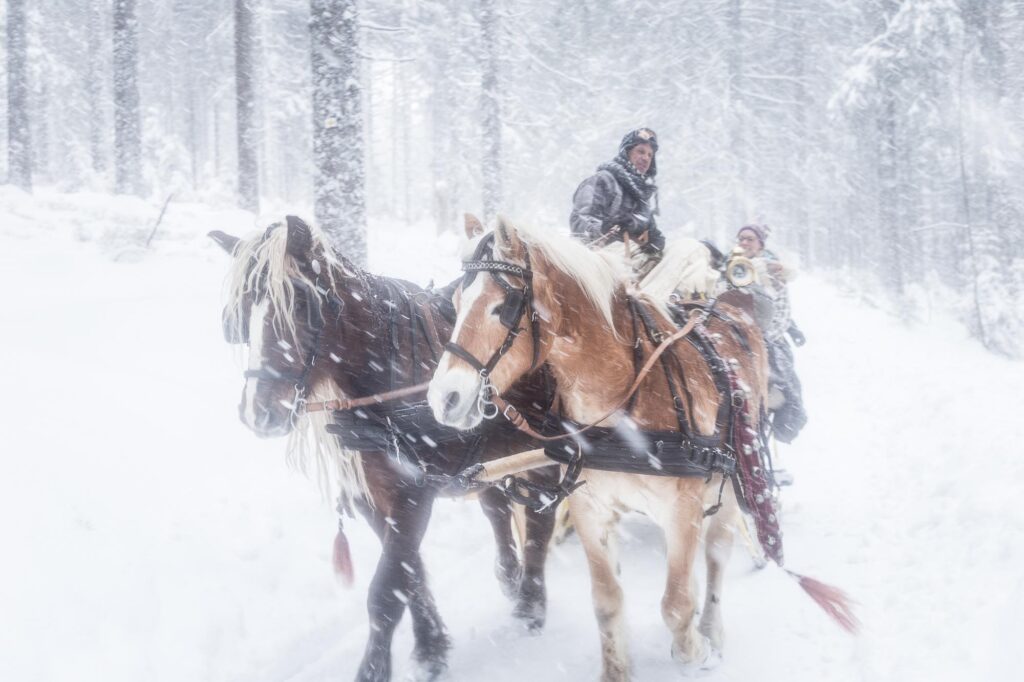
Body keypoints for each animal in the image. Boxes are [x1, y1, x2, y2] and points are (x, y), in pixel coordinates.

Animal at [209, 216, 561, 679]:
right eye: (240, 313)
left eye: (301, 305)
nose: (258, 413)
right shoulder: (371, 496)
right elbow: (409, 574)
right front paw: (431, 647)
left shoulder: (415, 493)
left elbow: (387, 588)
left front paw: (376, 667)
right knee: (496, 506)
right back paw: (508, 574)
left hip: (547, 449)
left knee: (541, 519)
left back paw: (531, 605)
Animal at [425, 220, 770, 675]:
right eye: (457, 301)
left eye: (503, 306)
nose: (443, 398)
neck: (622, 399)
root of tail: (730, 310)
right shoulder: (592, 509)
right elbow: (607, 601)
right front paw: (616, 669)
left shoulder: (682, 510)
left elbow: (676, 605)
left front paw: (695, 651)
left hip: (728, 487)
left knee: (716, 556)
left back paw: (712, 629)